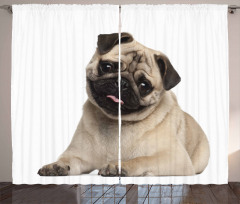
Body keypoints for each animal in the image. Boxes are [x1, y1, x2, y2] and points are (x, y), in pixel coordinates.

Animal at [38, 32, 209, 176]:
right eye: (107, 66)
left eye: (144, 85)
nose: (123, 83)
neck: (115, 123)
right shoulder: (79, 155)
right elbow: (68, 160)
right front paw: (56, 165)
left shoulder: (174, 158)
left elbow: (143, 158)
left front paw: (119, 166)